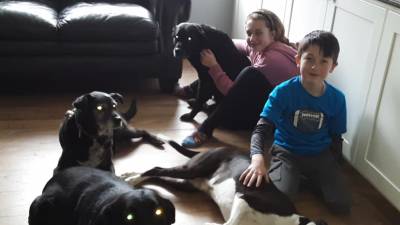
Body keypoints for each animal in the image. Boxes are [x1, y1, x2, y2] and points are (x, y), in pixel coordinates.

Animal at [122, 141, 328, 225]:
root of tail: (217, 148)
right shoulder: (245, 200)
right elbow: (229, 224)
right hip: (192, 170)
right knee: (156, 169)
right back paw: (132, 179)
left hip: (187, 184)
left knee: (159, 176)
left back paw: (129, 175)